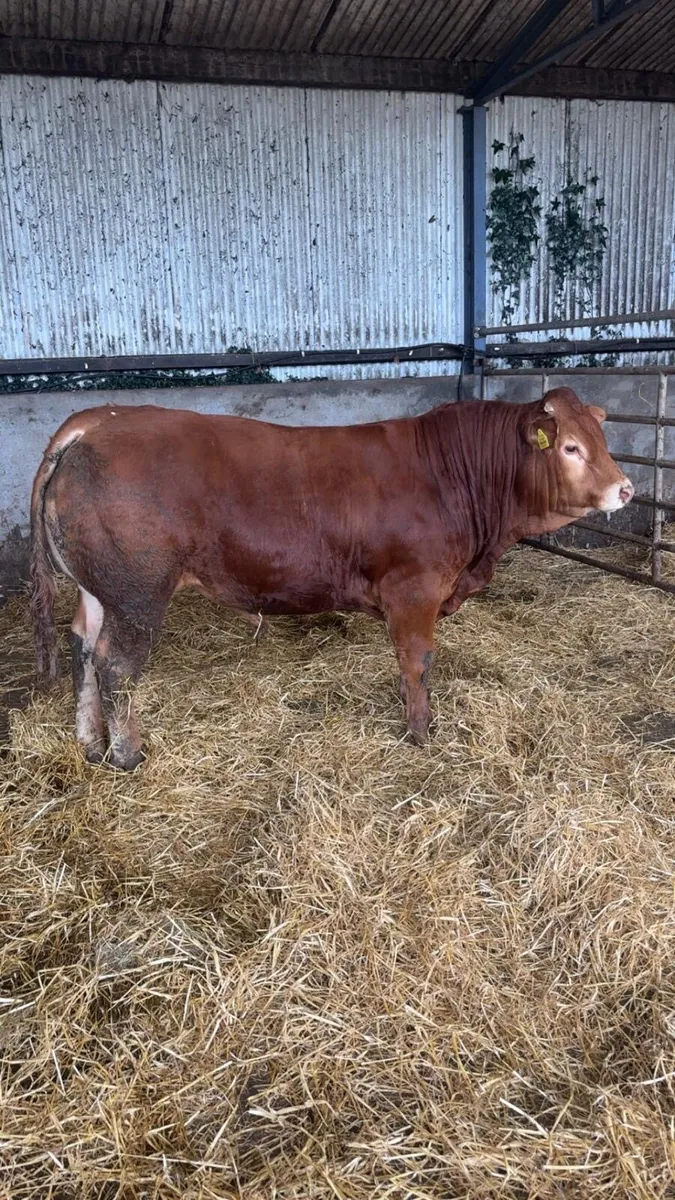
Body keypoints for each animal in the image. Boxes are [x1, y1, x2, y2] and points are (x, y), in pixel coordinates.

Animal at [30, 387, 633, 769]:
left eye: (602, 440)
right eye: (570, 447)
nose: (625, 489)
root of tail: (101, 420)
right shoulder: (414, 588)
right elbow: (418, 662)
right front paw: (421, 733)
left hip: (100, 590)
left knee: (83, 647)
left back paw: (90, 745)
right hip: (138, 594)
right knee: (116, 667)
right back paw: (126, 755)